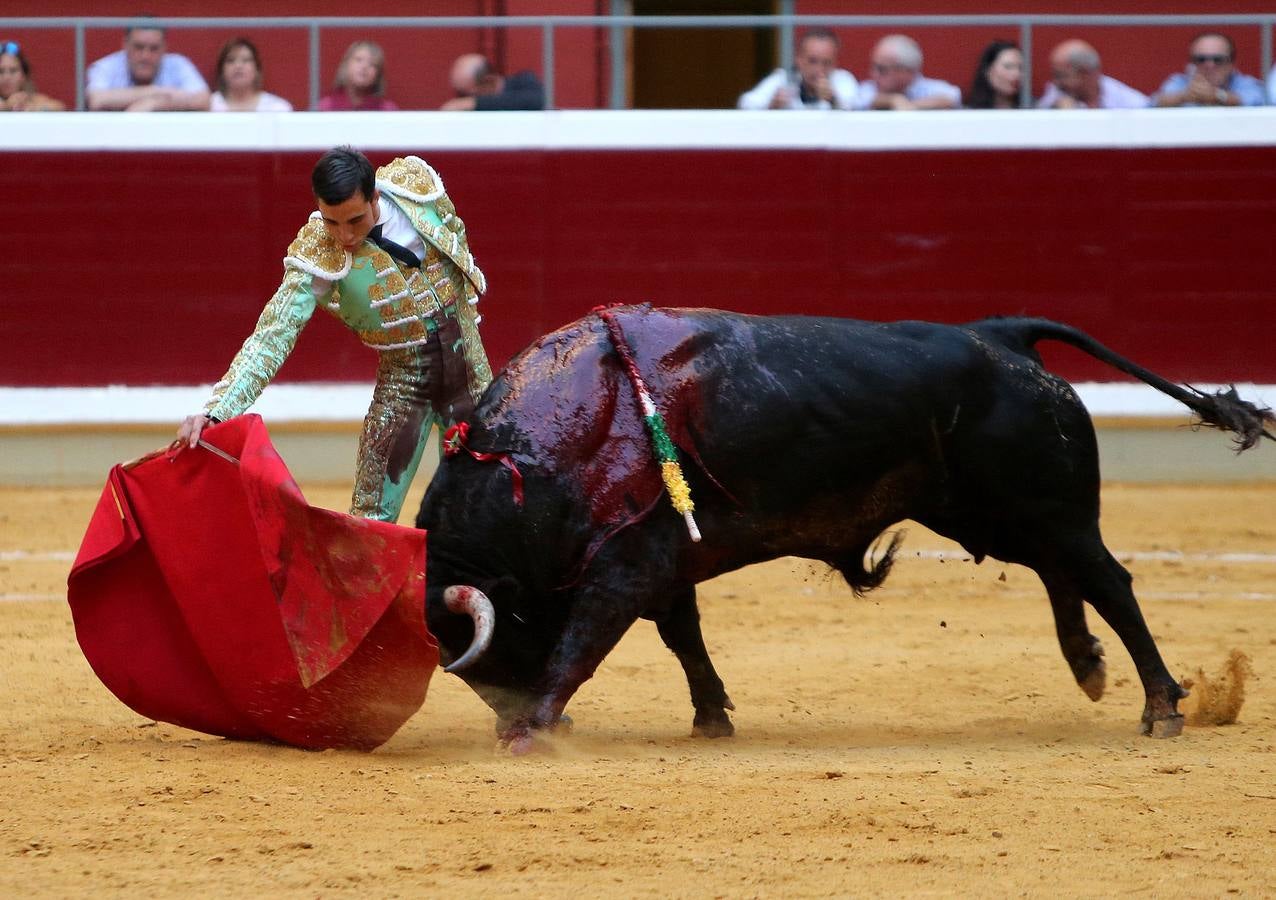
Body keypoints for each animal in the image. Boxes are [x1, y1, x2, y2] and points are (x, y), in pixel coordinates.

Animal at [415, 305, 1265, 745]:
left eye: (489, 650)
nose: (504, 718)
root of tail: (999, 333)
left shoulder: (625, 568)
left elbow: (585, 642)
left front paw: (536, 731)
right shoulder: (661, 564)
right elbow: (683, 637)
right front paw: (711, 718)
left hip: (1047, 508)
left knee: (1109, 580)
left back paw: (1161, 707)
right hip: (996, 514)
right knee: (1063, 573)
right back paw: (1088, 664)